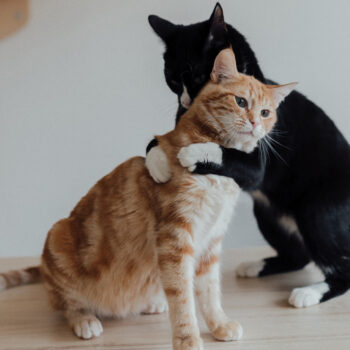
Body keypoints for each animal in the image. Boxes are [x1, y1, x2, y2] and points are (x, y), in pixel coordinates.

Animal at [0, 47, 296, 348]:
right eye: (240, 101)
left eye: (266, 112)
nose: (255, 123)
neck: (218, 168)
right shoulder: (175, 239)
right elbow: (182, 297)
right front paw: (188, 339)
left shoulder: (210, 243)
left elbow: (210, 292)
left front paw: (219, 325)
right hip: (57, 236)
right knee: (66, 304)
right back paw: (85, 320)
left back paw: (151, 303)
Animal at [146, 4, 350, 308]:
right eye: (171, 79)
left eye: (195, 76)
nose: (185, 101)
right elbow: (154, 142)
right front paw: (158, 163)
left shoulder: (255, 163)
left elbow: (226, 153)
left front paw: (190, 152)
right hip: (267, 213)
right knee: (298, 255)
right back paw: (256, 265)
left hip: (316, 210)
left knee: (342, 268)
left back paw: (309, 293)